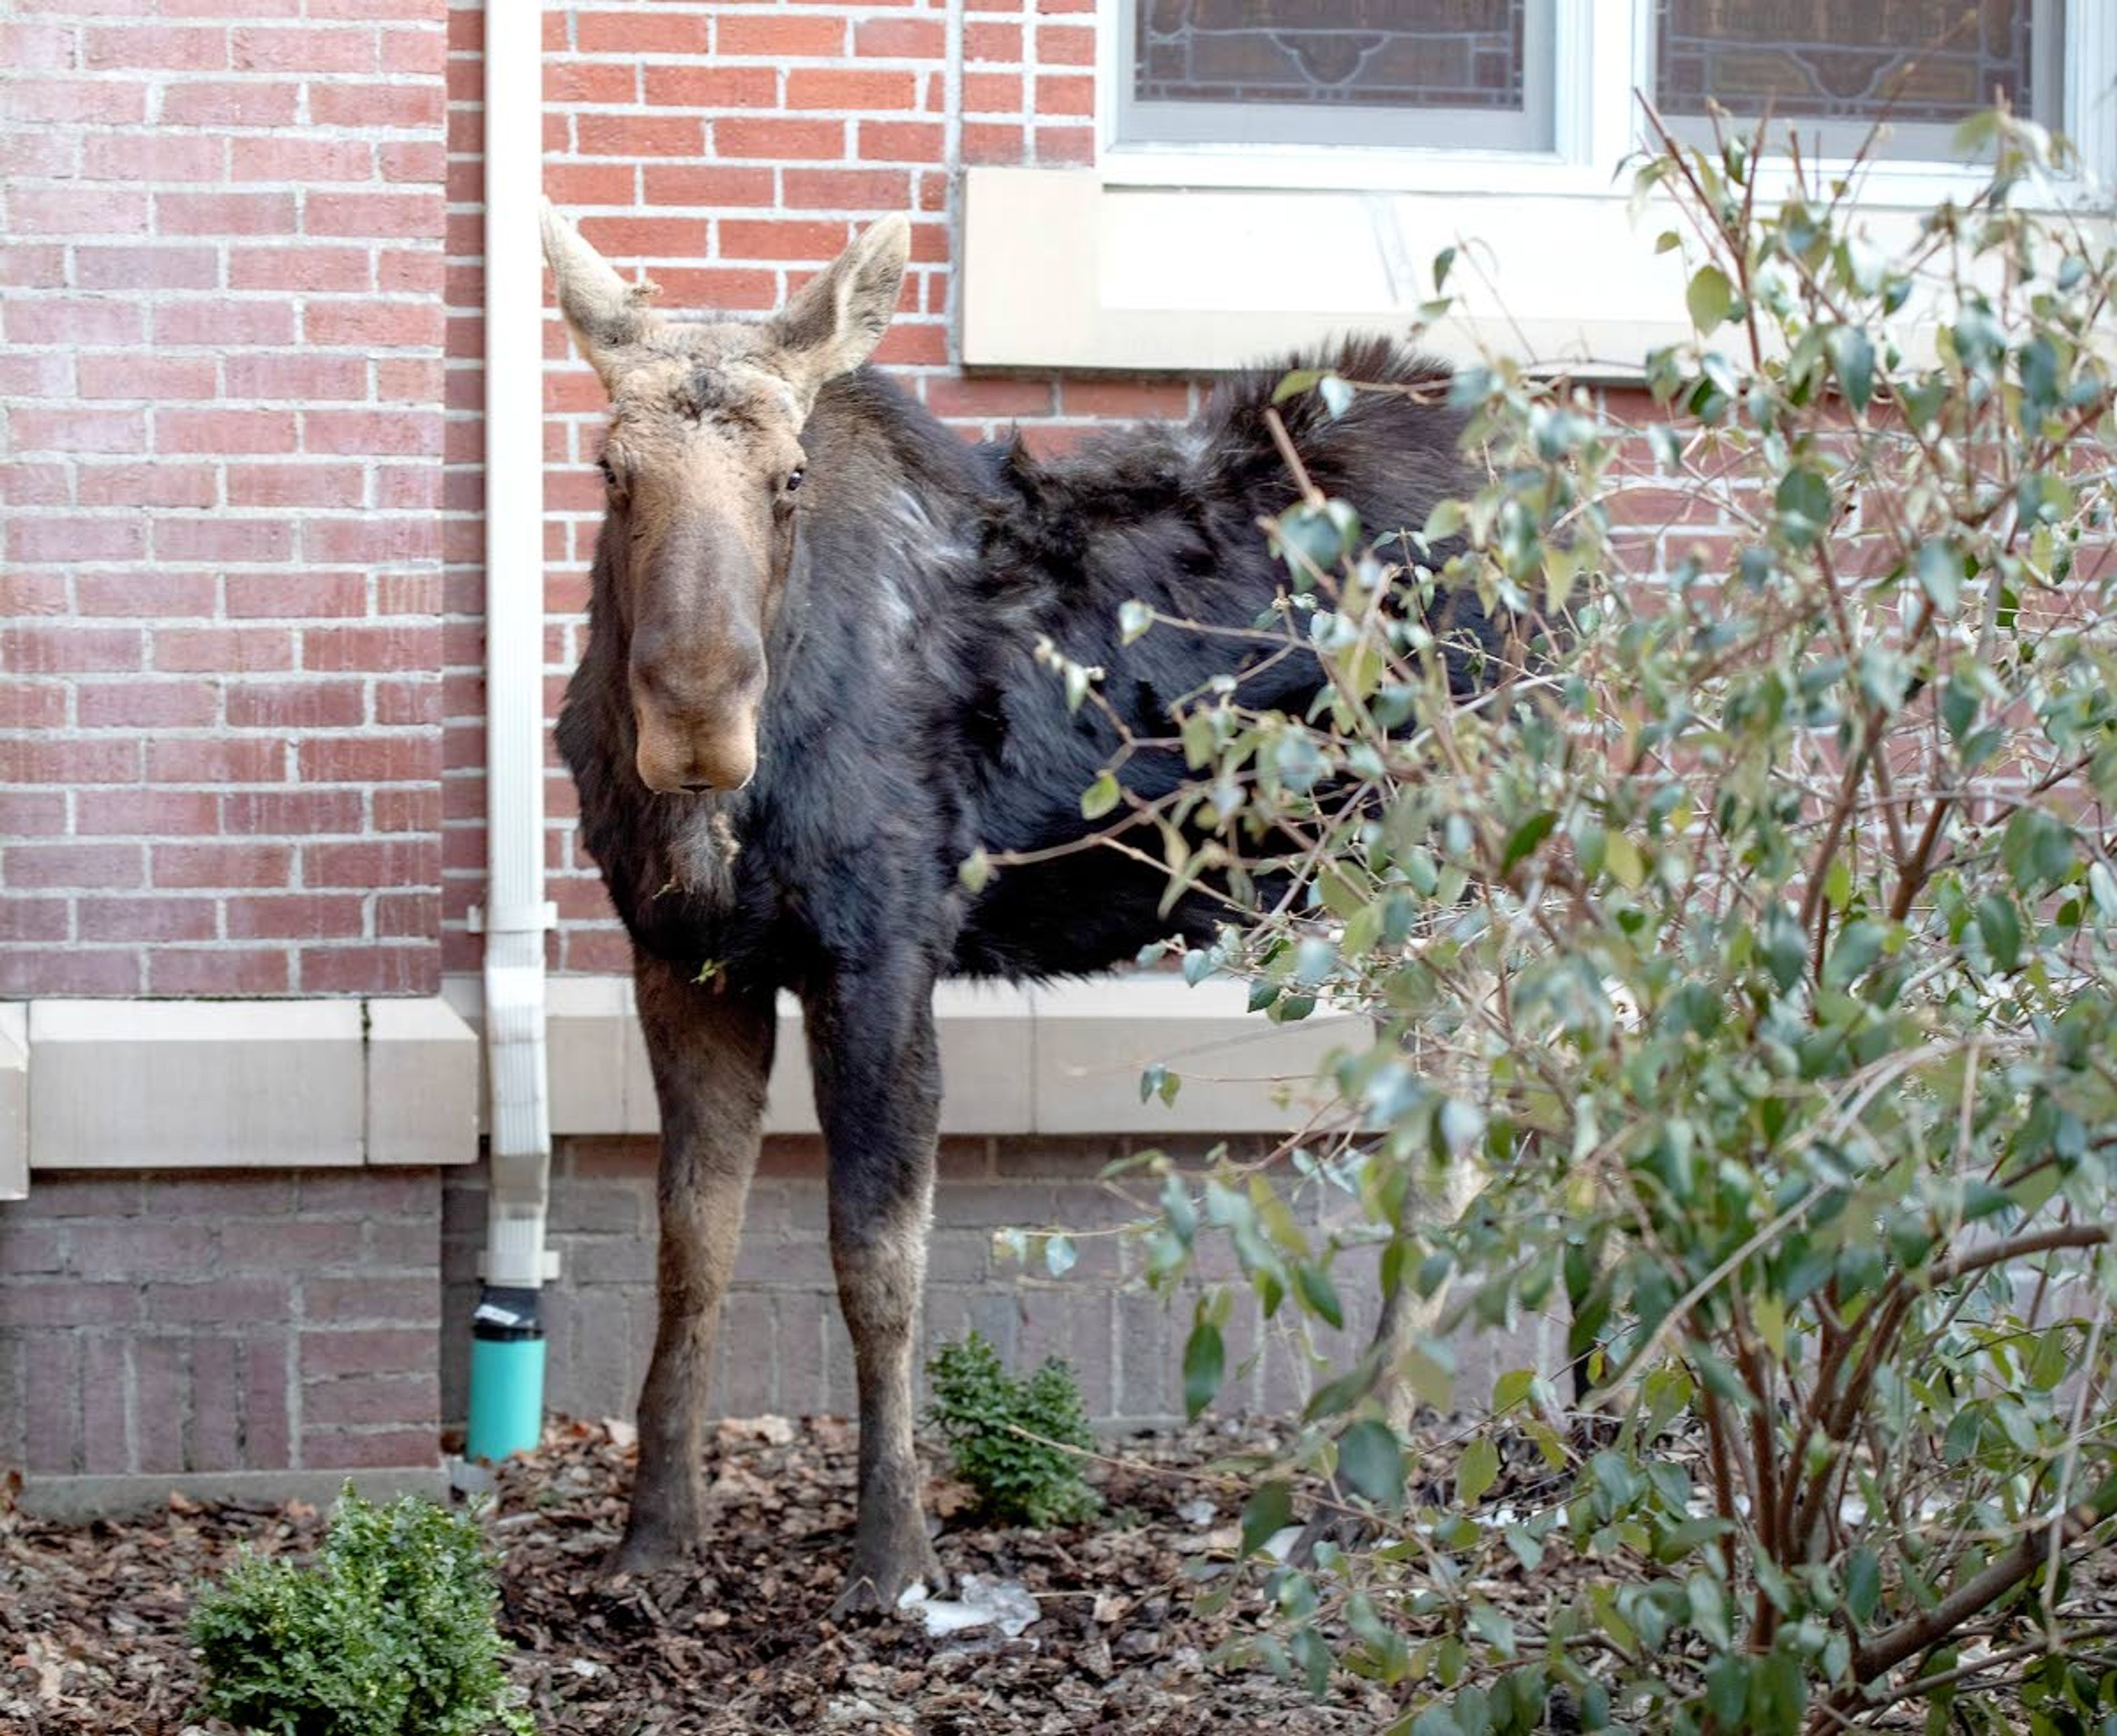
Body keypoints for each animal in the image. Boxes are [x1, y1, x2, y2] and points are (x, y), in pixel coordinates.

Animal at [546, 206, 1507, 1617]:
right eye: (612, 469)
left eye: (789, 477)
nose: (698, 718)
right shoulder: (683, 957)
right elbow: (690, 1245)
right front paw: (654, 1542)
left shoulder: (881, 947)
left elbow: (877, 1256)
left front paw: (895, 1554)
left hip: (1452, 872)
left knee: (1475, 1139)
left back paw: (1360, 1471)